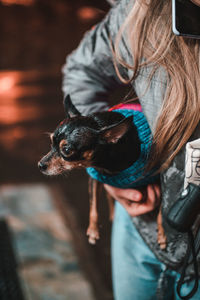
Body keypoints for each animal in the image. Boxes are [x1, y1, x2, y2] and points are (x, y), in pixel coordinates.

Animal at [38, 95, 166, 247]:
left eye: (67, 150)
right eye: (51, 142)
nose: (40, 165)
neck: (108, 166)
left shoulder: (160, 179)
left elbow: (162, 211)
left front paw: (162, 234)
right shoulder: (95, 179)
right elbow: (93, 206)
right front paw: (93, 230)